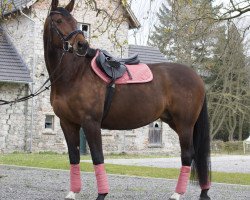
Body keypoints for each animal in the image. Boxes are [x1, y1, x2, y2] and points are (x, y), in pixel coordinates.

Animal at [44, 0, 211, 199]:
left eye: (76, 22)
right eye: (59, 21)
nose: (81, 45)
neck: (74, 74)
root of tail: (197, 77)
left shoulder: (91, 123)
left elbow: (97, 157)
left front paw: (102, 194)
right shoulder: (67, 123)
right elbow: (74, 157)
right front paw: (72, 192)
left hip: (185, 124)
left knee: (188, 155)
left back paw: (178, 194)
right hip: (175, 123)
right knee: (196, 155)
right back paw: (203, 191)